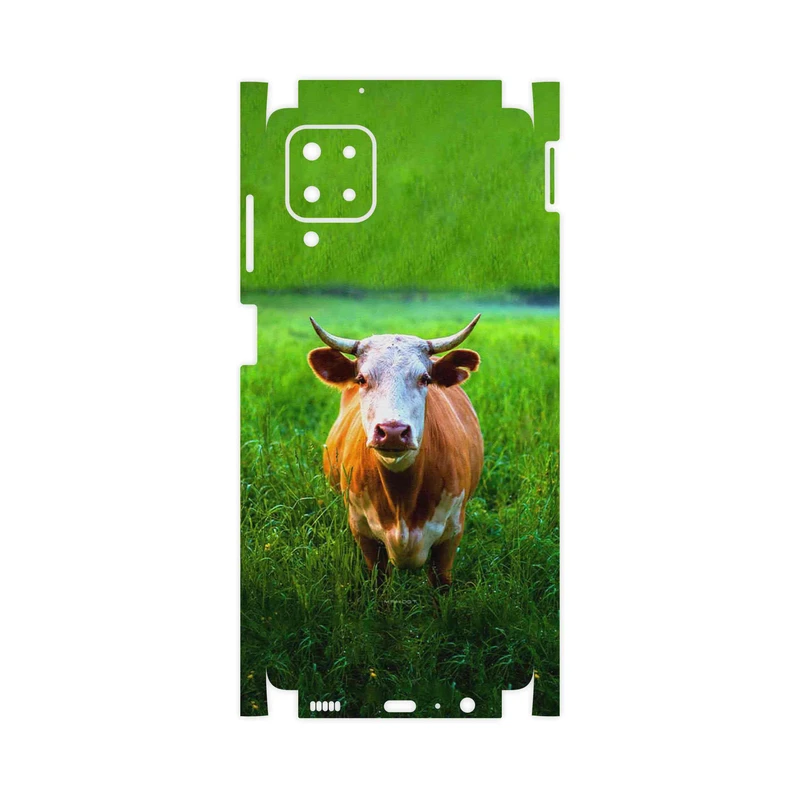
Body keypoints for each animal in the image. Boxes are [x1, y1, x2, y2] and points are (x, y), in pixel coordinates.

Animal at [307, 315, 484, 589]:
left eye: (425, 379)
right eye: (361, 379)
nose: (392, 431)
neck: (402, 499)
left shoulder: (451, 534)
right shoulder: (363, 533)